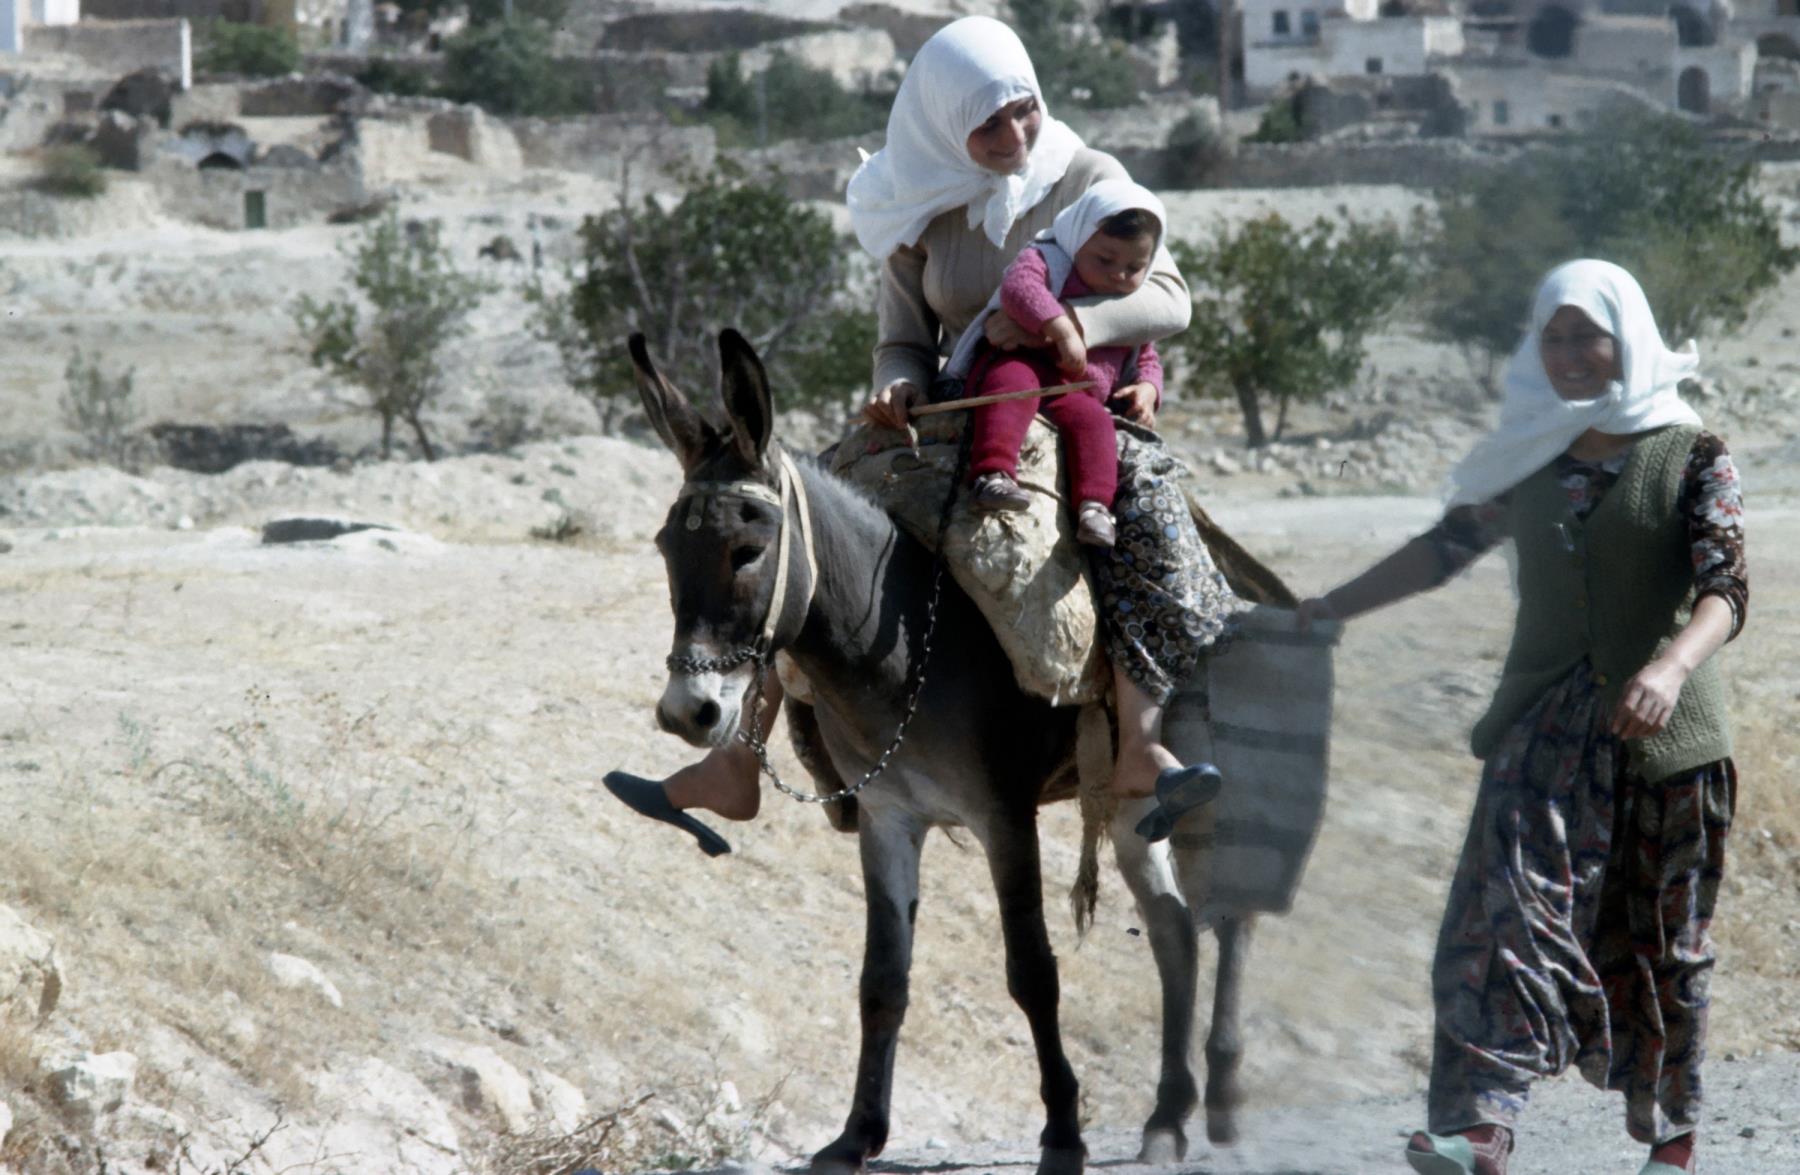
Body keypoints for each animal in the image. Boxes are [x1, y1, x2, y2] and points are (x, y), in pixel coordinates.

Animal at [630, 329, 1266, 1174]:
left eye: (746, 548)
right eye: (667, 545)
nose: (687, 712)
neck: (901, 645)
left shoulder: (1004, 816)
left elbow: (1032, 970)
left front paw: (1062, 1134)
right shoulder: (887, 817)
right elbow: (882, 979)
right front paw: (857, 1134)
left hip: (1207, 777)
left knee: (1229, 913)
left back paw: (1223, 1098)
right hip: (1134, 806)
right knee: (1173, 928)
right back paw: (1168, 1115)